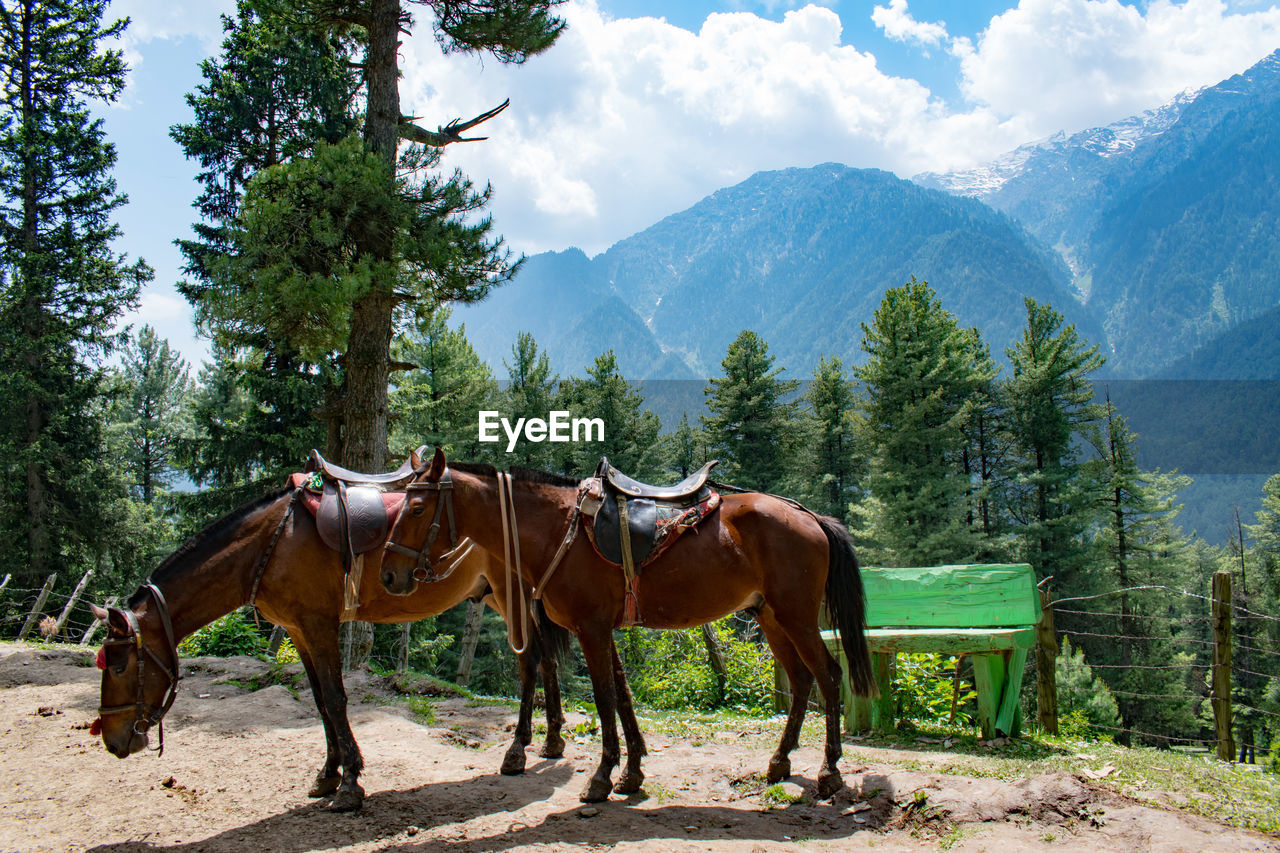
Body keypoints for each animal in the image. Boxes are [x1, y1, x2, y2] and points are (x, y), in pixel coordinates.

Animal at [87, 481, 568, 809]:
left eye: (118, 666)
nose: (112, 741)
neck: (269, 545)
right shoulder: (298, 632)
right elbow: (319, 701)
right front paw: (327, 774)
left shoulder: (319, 626)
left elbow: (336, 700)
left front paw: (351, 781)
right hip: (505, 596)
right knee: (546, 661)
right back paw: (552, 741)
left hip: (509, 594)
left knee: (529, 663)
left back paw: (518, 749)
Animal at [381, 448, 880, 799]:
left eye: (417, 508)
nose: (388, 573)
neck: (557, 530)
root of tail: (810, 515)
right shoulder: (602, 628)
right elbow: (621, 693)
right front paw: (632, 773)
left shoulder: (591, 628)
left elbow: (604, 697)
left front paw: (602, 777)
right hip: (772, 617)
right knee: (801, 680)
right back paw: (779, 762)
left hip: (797, 616)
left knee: (828, 676)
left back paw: (829, 771)